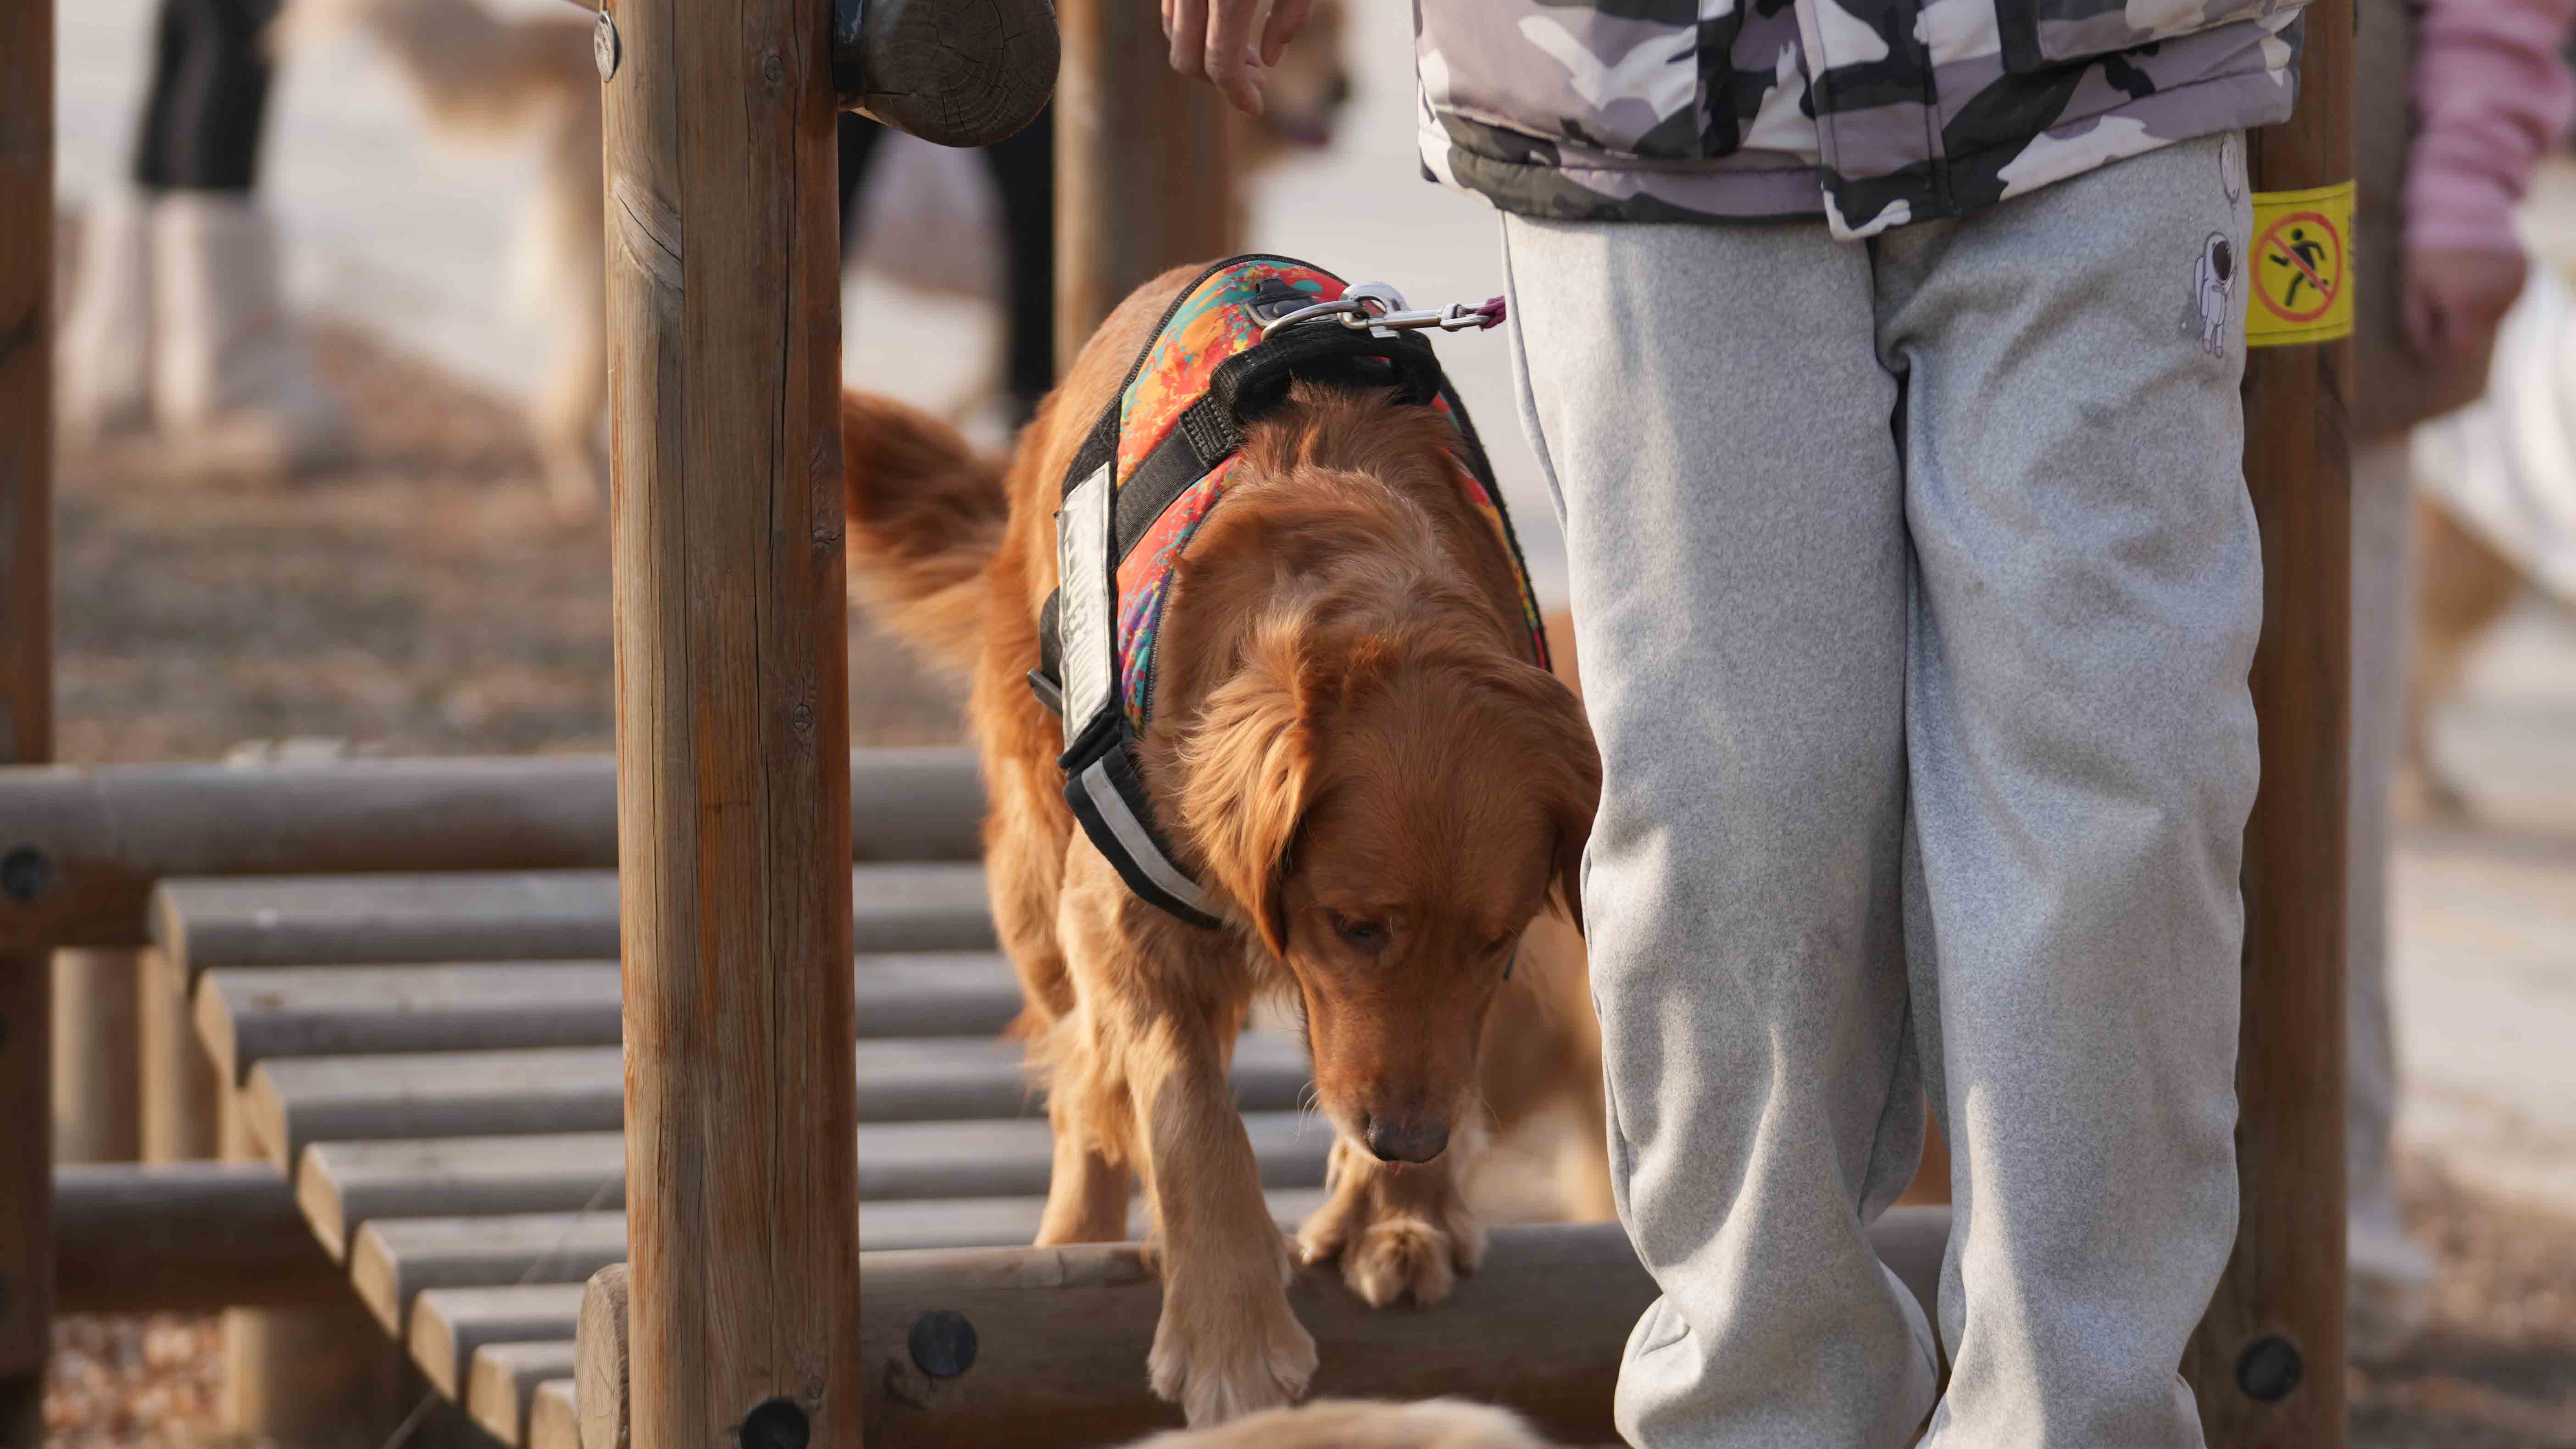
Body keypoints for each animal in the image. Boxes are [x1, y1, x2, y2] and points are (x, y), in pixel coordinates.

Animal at [845, 266, 1597, 1421]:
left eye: (1495, 940)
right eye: (1355, 926)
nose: (1408, 1144)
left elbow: (1432, 1051)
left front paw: (1400, 1211)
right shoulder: (1117, 916)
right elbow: (1184, 1104)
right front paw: (1232, 1330)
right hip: (1032, 884)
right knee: (1083, 1091)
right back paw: (1070, 1245)